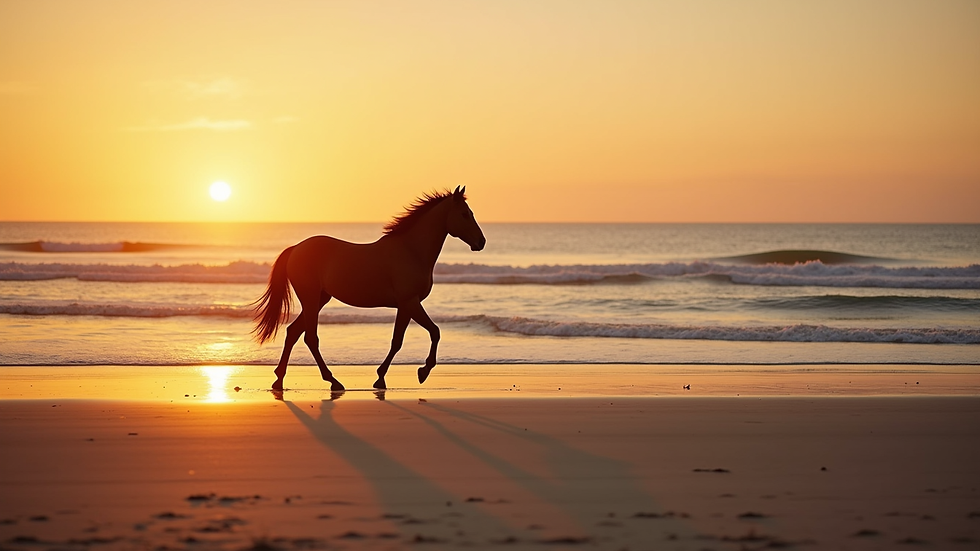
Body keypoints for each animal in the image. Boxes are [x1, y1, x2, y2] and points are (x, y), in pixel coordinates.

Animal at [252, 186, 486, 391]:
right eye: (465, 214)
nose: (481, 242)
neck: (411, 250)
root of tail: (295, 249)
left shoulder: (406, 305)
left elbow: (399, 341)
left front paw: (383, 378)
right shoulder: (410, 302)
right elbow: (431, 332)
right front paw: (421, 372)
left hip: (319, 300)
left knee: (293, 332)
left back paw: (279, 380)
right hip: (310, 299)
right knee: (310, 338)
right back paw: (332, 381)